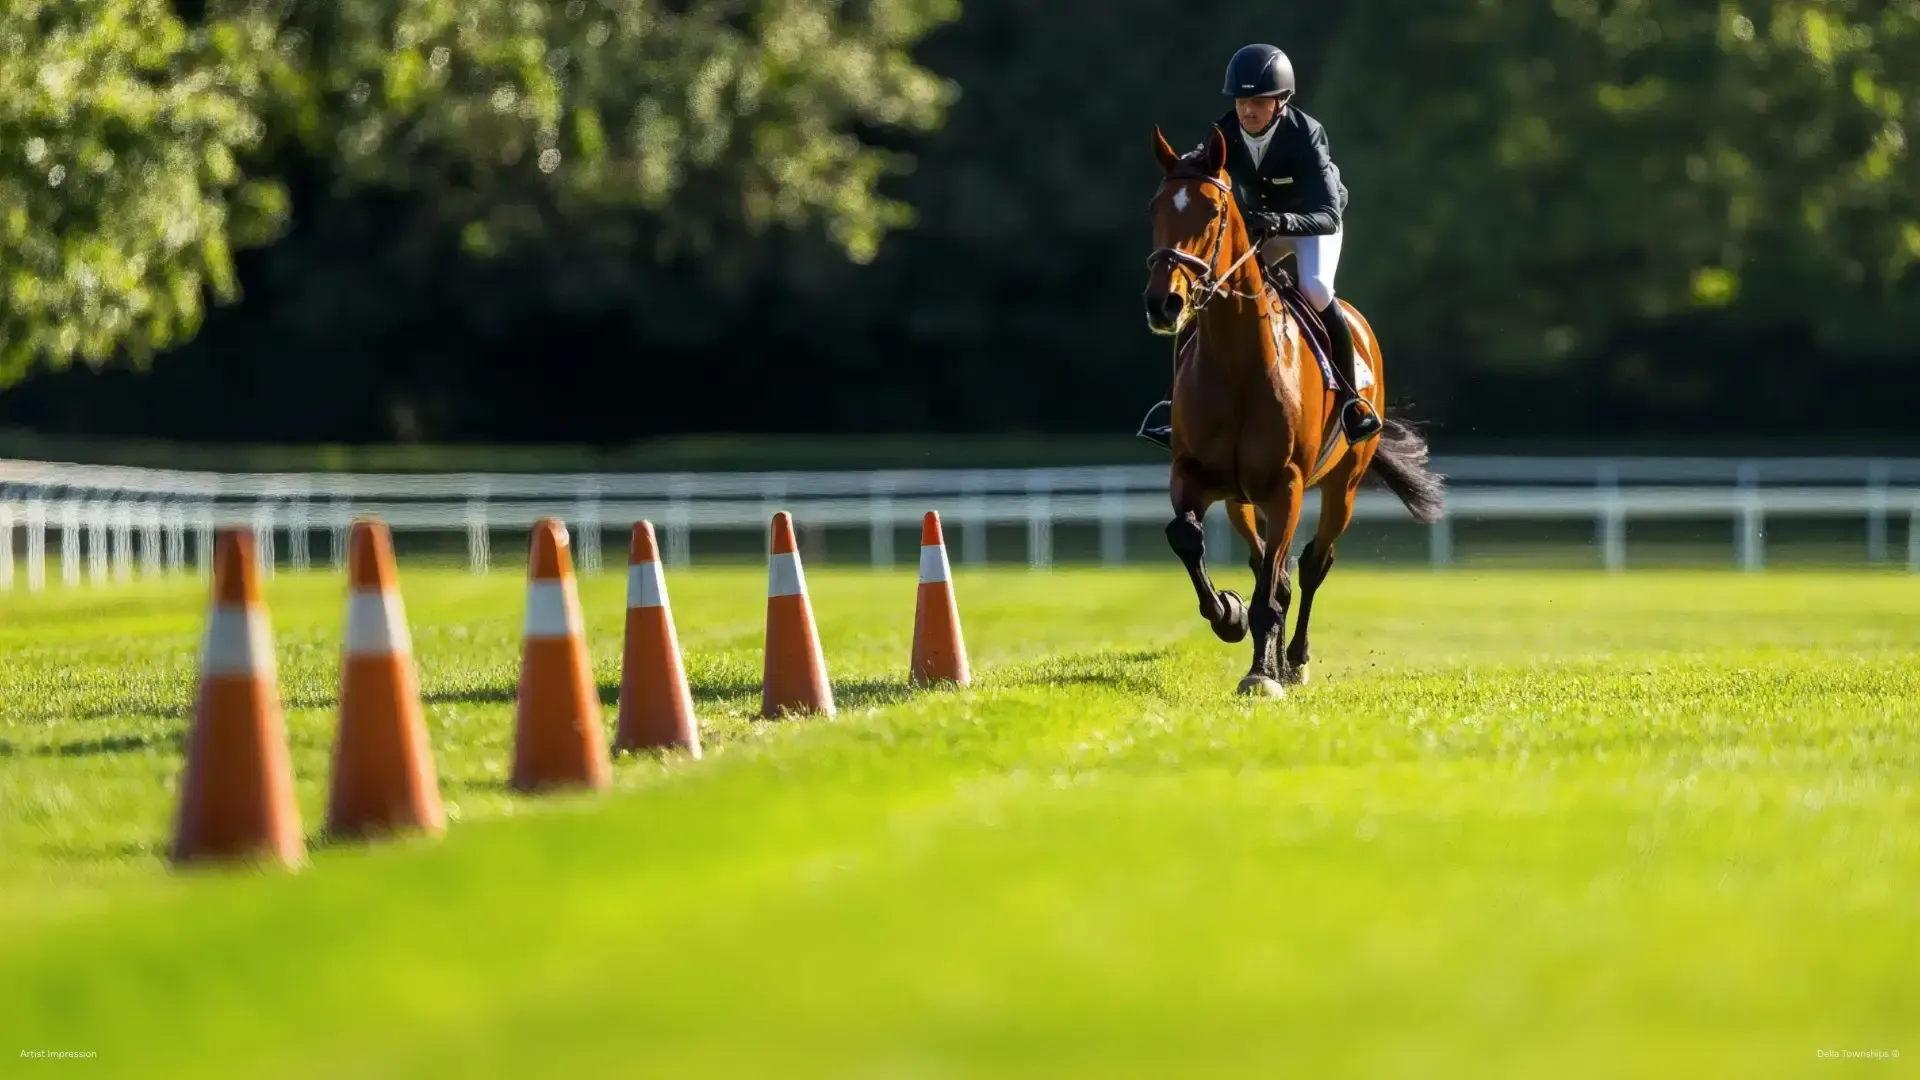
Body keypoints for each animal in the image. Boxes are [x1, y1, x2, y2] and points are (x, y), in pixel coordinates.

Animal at [1141, 123, 1446, 697]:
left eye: (1213, 211)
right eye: (1155, 208)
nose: (1163, 304)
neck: (1237, 363)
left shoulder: (1288, 484)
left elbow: (1278, 585)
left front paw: (1263, 674)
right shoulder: (1192, 473)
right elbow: (1188, 538)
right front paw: (1229, 616)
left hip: (1342, 485)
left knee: (1311, 565)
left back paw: (1295, 660)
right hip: (1243, 501)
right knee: (1266, 562)